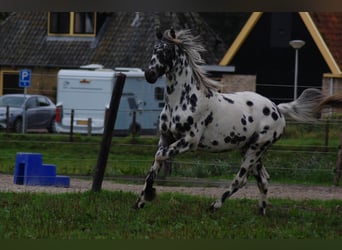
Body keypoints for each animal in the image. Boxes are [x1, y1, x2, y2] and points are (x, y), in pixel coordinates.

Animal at [134, 27, 326, 215]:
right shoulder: (165, 138)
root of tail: (277, 109)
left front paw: (149, 195)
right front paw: (141, 201)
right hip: (249, 149)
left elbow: (160, 156)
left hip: (256, 148)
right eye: (154, 49)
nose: (149, 74)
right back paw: (261, 213)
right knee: (263, 179)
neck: (182, 100)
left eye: (167, 51)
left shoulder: (189, 141)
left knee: (241, 180)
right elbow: (154, 165)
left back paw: (214, 206)